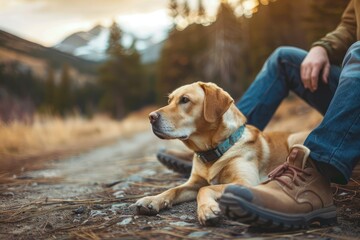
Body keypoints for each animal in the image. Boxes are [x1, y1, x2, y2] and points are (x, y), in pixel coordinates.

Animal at [134, 82, 308, 225]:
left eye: (184, 100)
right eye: (169, 100)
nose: (151, 117)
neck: (214, 152)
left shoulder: (246, 182)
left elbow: (205, 189)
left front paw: (206, 209)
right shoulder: (194, 183)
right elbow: (173, 189)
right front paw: (152, 199)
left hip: (294, 140)